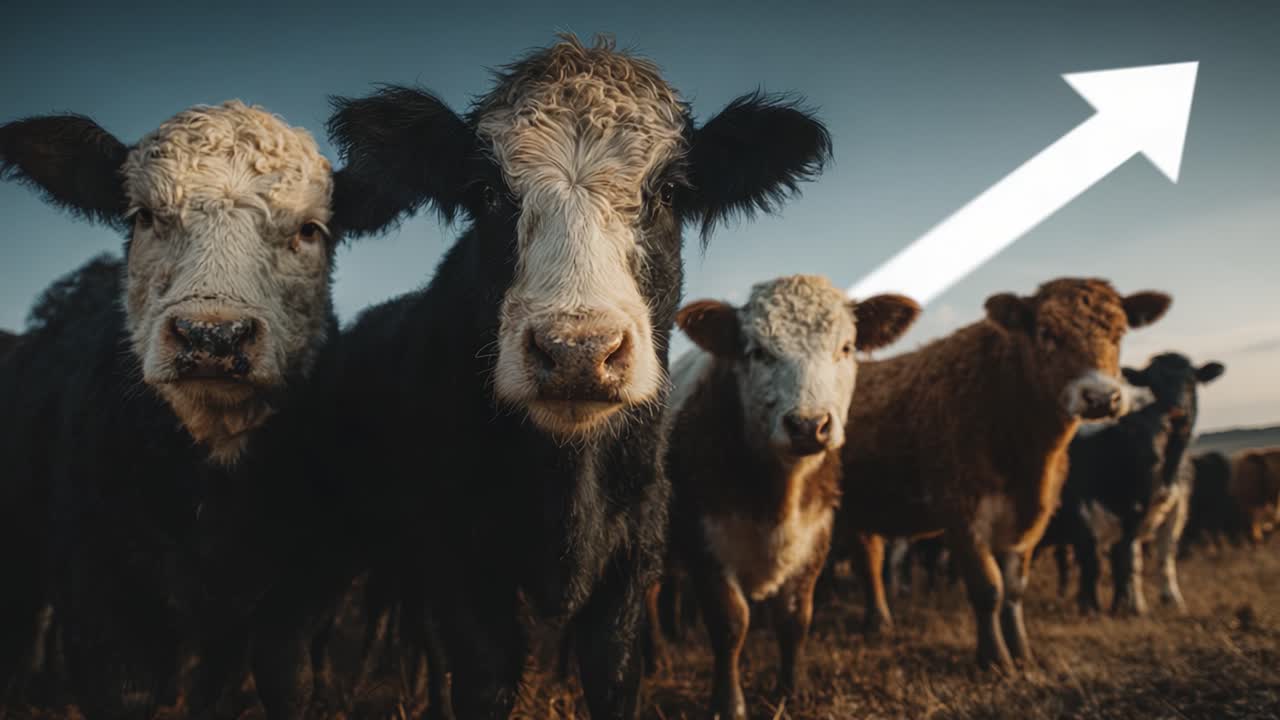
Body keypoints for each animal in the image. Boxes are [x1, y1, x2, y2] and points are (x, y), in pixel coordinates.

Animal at [0, 102, 352, 718]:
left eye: (310, 229)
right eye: (144, 217)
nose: (213, 337)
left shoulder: (306, 591)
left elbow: (287, 682)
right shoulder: (97, 591)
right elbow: (124, 690)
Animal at [324, 34, 833, 719]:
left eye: (669, 190)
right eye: (486, 191)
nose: (577, 351)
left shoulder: (636, 551)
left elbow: (614, 670)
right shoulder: (458, 555)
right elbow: (483, 674)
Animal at [662, 276, 918, 719]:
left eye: (846, 347)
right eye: (757, 352)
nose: (808, 425)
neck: (779, 496)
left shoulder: (816, 537)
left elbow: (795, 617)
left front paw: (791, 689)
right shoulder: (704, 543)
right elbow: (729, 624)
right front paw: (728, 704)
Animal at [834, 278, 1170, 668]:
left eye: (1118, 332)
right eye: (1047, 332)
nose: (1101, 397)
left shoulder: (1031, 517)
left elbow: (1013, 589)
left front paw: (1021, 651)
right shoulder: (960, 512)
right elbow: (988, 588)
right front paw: (994, 659)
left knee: (869, 558)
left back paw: (880, 622)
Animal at [1039, 353, 1224, 615]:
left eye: (1191, 381)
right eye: (1154, 385)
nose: (1177, 412)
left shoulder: (1175, 508)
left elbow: (1164, 556)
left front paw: (1172, 599)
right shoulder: (1114, 512)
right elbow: (1125, 560)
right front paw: (1133, 605)